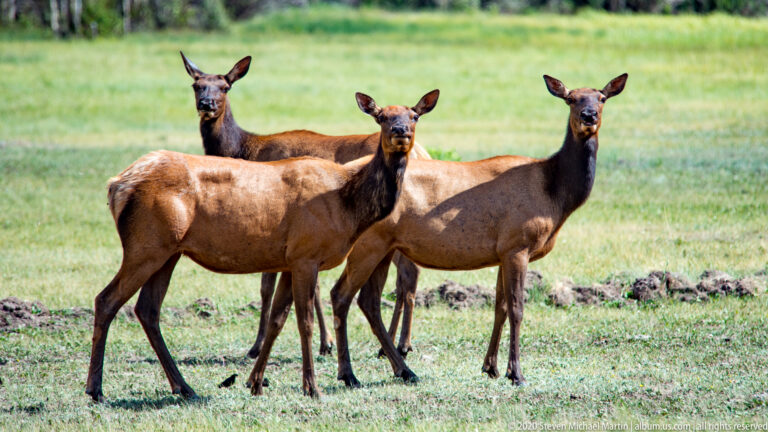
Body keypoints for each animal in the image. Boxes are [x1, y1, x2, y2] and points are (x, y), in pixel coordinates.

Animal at [85, 89, 439, 402]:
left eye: (414, 115)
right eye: (381, 116)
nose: (401, 132)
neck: (348, 204)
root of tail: (116, 185)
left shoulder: (289, 259)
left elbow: (276, 321)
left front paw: (255, 383)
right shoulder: (306, 254)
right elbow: (304, 322)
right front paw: (312, 388)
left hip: (168, 252)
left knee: (147, 309)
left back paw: (184, 388)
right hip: (145, 245)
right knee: (106, 299)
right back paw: (95, 389)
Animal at [180, 52, 427, 359]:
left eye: (225, 87)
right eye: (196, 85)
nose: (207, 104)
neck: (244, 150)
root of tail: (423, 153)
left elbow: (266, 287)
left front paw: (258, 345)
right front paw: (325, 341)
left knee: (408, 272)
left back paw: (400, 344)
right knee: (408, 273)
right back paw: (395, 344)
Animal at [328, 74, 628, 388]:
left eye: (602, 98)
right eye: (570, 98)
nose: (589, 116)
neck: (555, 195)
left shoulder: (503, 251)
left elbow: (501, 307)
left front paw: (492, 367)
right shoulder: (518, 243)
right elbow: (518, 308)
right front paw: (517, 373)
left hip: (384, 246)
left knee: (368, 301)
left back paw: (403, 370)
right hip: (368, 244)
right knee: (341, 295)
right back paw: (350, 374)